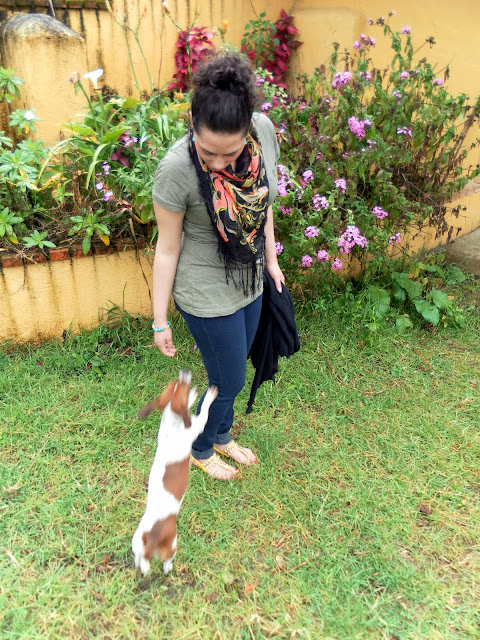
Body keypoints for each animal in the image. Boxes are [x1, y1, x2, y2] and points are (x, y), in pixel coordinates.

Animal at [131, 369, 217, 576]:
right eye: (182, 387)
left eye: (174, 384)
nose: (184, 372)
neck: (172, 420)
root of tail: (150, 540)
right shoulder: (197, 425)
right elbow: (204, 411)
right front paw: (210, 395)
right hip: (173, 545)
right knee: (166, 561)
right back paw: (168, 568)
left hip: (136, 543)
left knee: (140, 561)